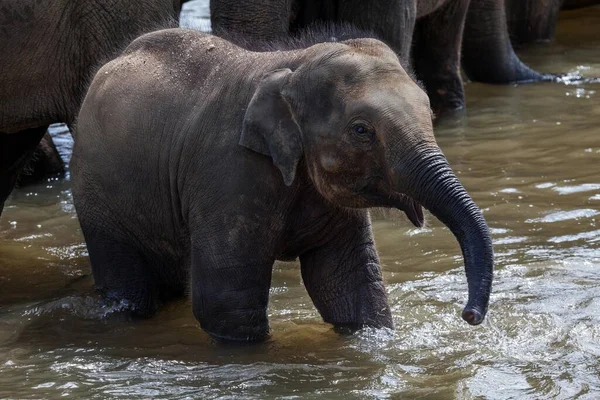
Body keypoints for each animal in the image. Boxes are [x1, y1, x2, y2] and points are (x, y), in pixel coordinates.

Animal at [71, 27, 492, 340]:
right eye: (361, 131)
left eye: (430, 111)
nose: (469, 315)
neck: (295, 63)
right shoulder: (228, 173)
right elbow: (226, 303)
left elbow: (348, 284)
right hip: (95, 196)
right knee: (129, 288)